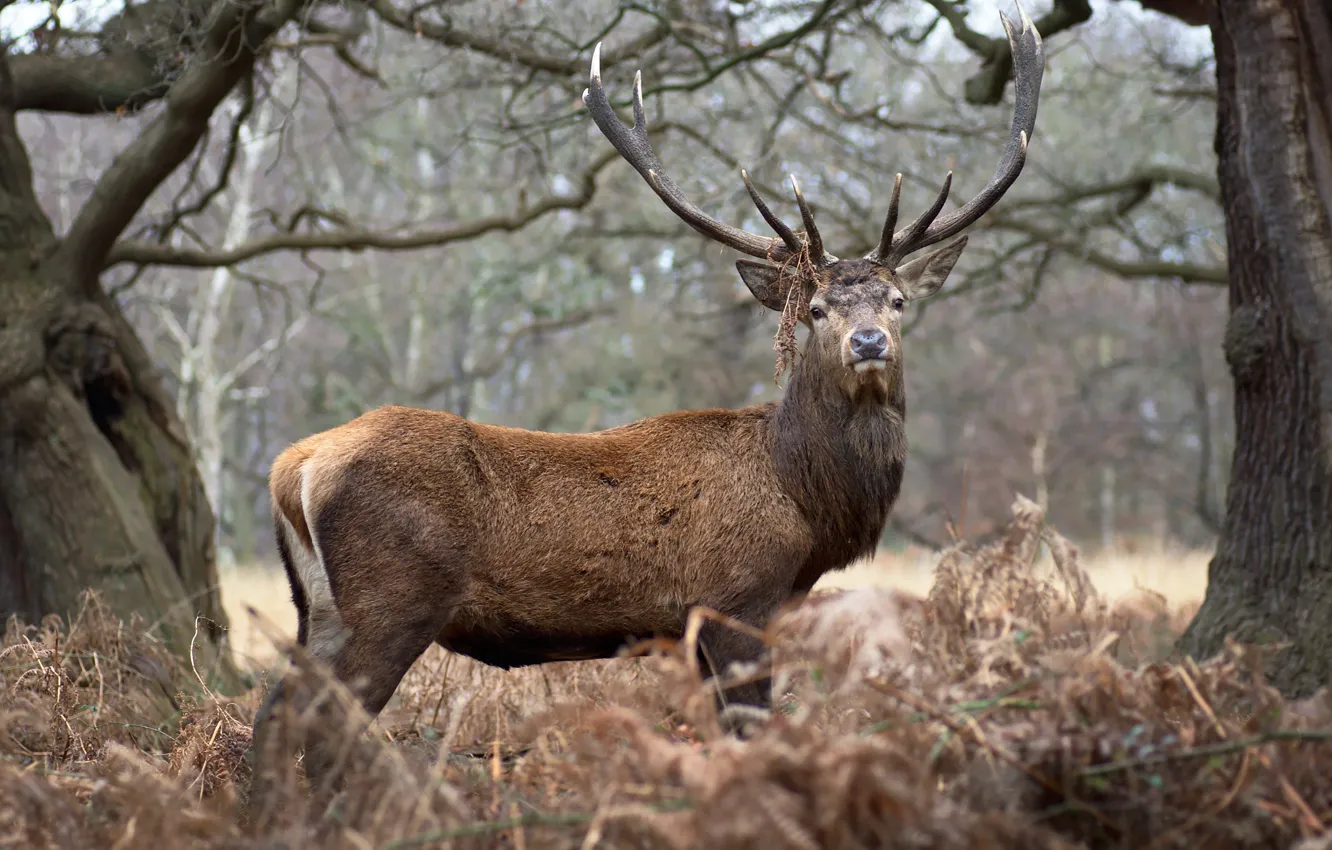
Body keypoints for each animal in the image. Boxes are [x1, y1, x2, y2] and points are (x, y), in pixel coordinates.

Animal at [249, 4, 1043, 793]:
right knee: (320, 720)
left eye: (899, 300)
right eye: (816, 309)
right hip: (391, 600)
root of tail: (294, 466)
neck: (804, 498)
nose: (869, 341)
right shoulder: (734, 601)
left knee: (273, 709)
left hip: (318, 608)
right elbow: (749, 735)